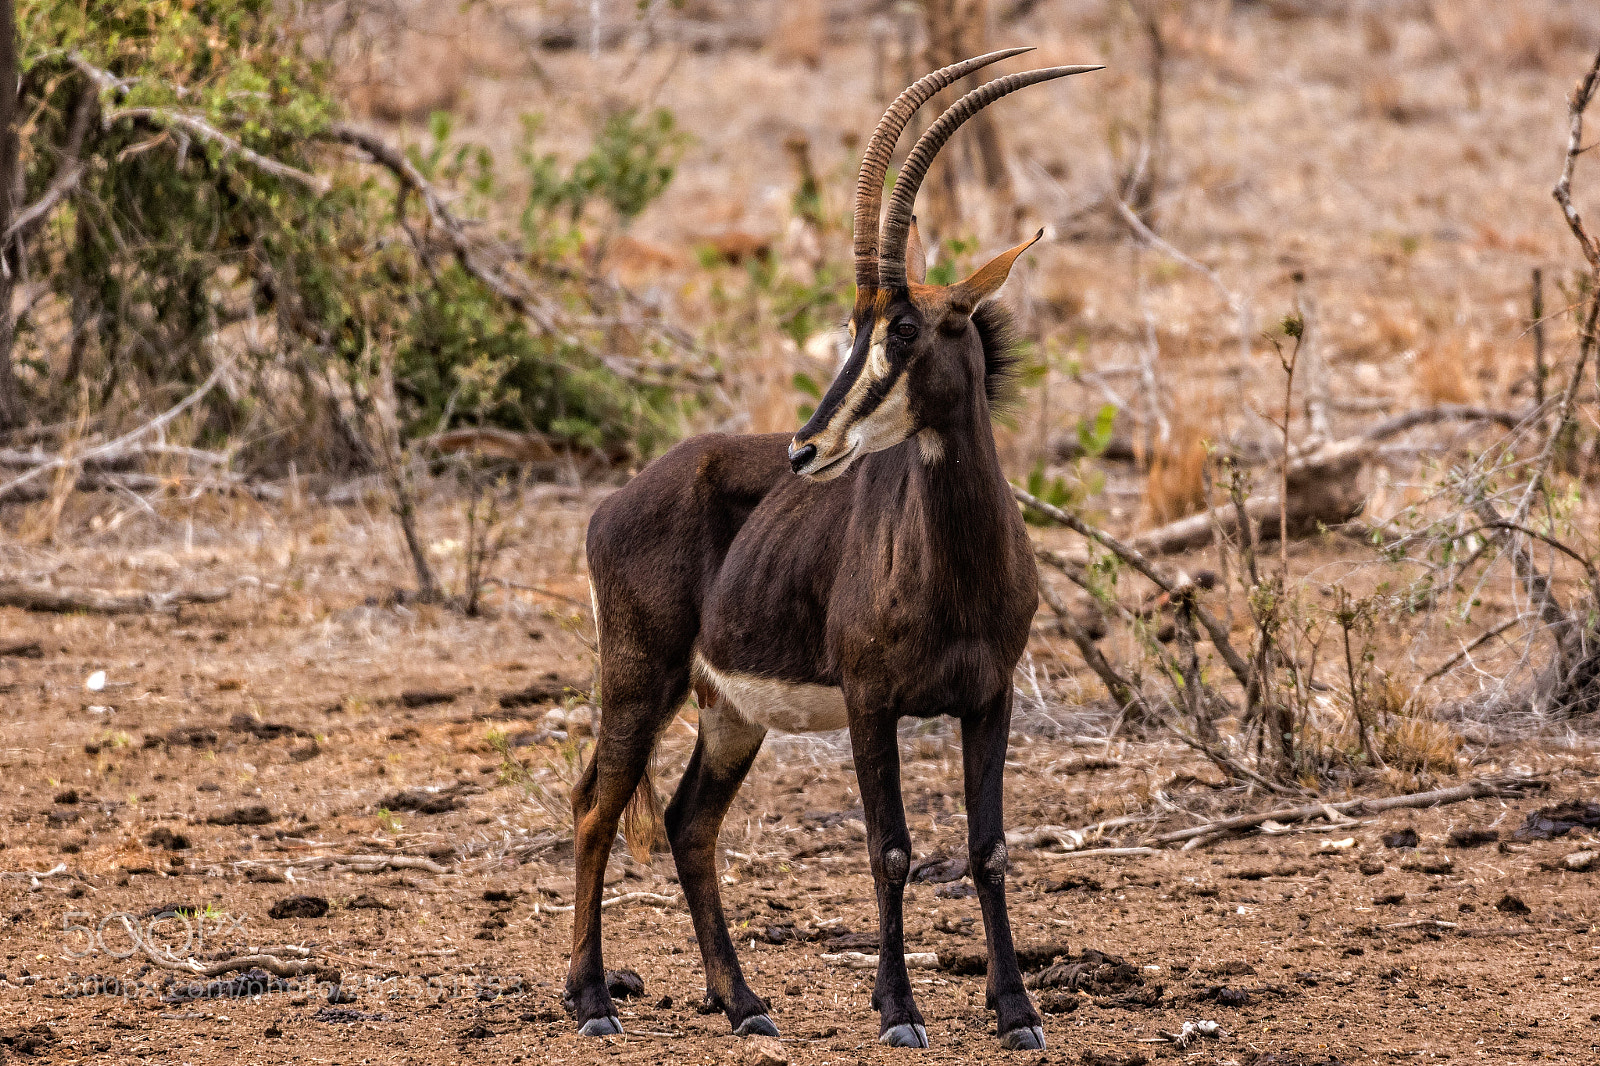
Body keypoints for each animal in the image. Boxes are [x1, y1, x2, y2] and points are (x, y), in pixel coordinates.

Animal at [565, 50, 1100, 1051]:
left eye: (904, 329)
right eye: (854, 327)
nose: (806, 449)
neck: (957, 569)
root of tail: (617, 502)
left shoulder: (990, 698)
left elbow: (989, 848)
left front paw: (1016, 1010)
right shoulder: (870, 701)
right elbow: (889, 848)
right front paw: (898, 1011)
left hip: (730, 714)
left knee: (690, 825)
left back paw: (744, 1003)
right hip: (641, 677)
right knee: (596, 806)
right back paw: (591, 1002)